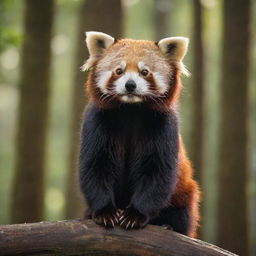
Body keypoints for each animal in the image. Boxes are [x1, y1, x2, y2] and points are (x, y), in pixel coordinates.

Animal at [78, 31, 200, 237]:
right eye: (119, 71)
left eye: (145, 72)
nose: (130, 85)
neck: (131, 110)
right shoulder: (97, 121)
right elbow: (95, 166)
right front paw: (105, 212)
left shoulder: (164, 126)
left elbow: (157, 172)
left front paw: (135, 215)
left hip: (185, 193)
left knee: (183, 213)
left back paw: (168, 225)